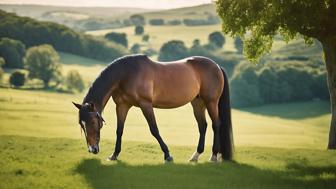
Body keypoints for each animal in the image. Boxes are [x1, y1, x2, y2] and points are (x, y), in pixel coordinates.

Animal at [72, 54, 232, 162]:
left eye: (93, 122)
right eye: (81, 124)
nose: (92, 149)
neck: (126, 73)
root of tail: (217, 66)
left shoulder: (146, 104)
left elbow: (154, 129)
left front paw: (167, 155)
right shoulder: (122, 106)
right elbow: (119, 130)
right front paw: (114, 155)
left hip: (211, 102)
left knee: (216, 124)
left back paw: (213, 156)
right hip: (197, 103)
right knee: (203, 126)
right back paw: (195, 156)